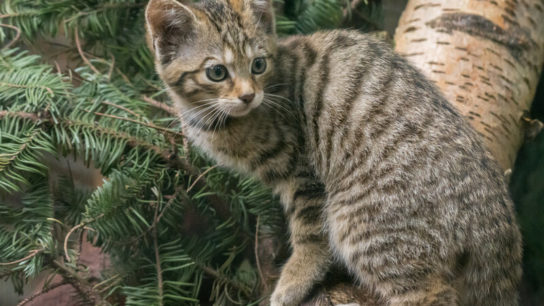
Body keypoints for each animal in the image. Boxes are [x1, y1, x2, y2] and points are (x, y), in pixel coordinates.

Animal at [144, 0, 524, 304]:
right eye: (217, 72)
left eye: (258, 65)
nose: (248, 95)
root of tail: (497, 220)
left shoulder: (301, 168)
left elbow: (310, 234)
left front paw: (293, 281)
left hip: (362, 221)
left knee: (430, 293)